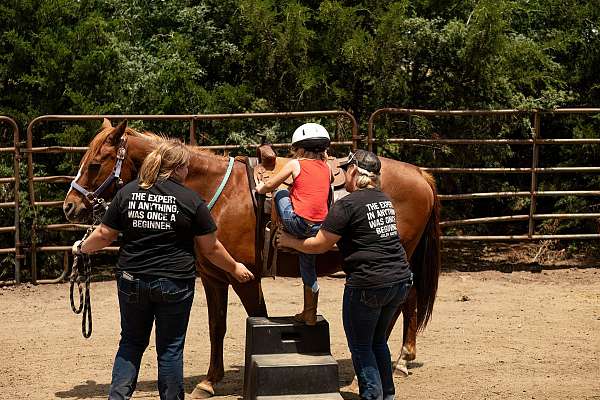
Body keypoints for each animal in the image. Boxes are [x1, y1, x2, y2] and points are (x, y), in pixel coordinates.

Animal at [63, 119, 440, 396]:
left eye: (94, 164)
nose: (70, 205)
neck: (220, 192)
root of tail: (419, 173)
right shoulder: (214, 277)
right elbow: (217, 327)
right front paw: (208, 382)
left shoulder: (245, 277)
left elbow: (258, 317)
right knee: (408, 299)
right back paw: (403, 359)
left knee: (397, 305)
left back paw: (377, 371)